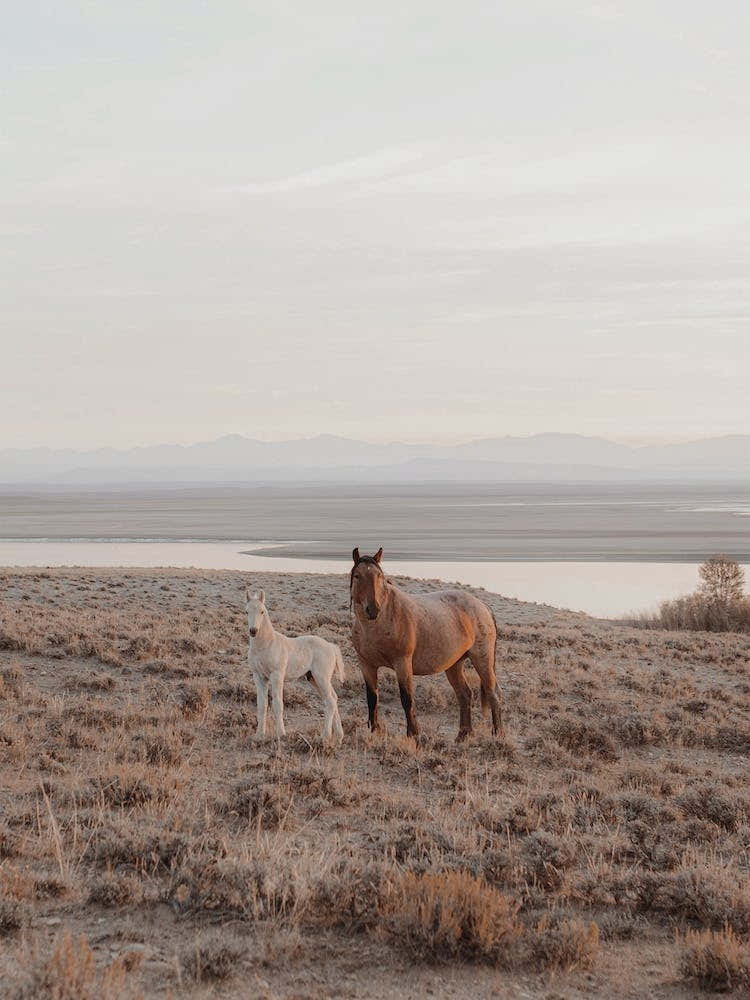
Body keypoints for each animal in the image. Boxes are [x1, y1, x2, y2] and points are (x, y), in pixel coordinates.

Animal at [245, 588, 345, 746]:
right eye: (246, 611)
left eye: (262, 611)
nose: (253, 631)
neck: (266, 644)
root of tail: (331, 646)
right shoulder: (259, 677)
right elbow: (262, 705)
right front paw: (259, 736)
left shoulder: (277, 675)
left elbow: (278, 704)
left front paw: (281, 734)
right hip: (313, 678)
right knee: (333, 698)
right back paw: (339, 737)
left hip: (321, 677)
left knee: (330, 701)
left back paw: (325, 736)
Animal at [349, 548, 502, 742]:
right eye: (358, 576)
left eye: (379, 576)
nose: (373, 609)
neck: (380, 622)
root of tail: (483, 606)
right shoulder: (367, 665)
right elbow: (372, 698)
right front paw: (374, 730)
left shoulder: (402, 664)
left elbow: (407, 699)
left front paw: (413, 734)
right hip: (454, 665)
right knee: (465, 695)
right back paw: (462, 735)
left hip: (483, 660)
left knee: (493, 694)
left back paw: (498, 734)